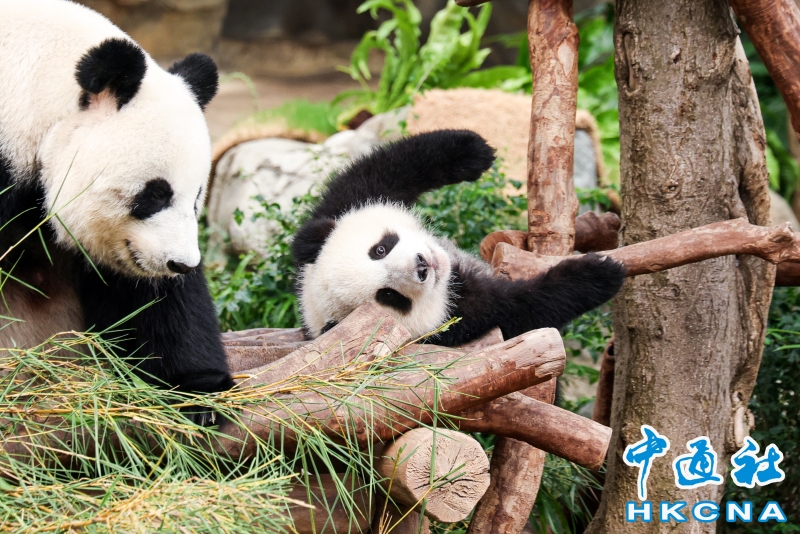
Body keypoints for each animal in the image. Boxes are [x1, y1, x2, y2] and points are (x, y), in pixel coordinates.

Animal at [292, 130, 625, 346]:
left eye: (381, 249)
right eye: (389, 296)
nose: (423, 265)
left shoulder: (343, 205)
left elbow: (386, 168)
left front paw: (473, 151)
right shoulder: (455, 321)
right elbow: (521, 306)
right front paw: (598, 274)